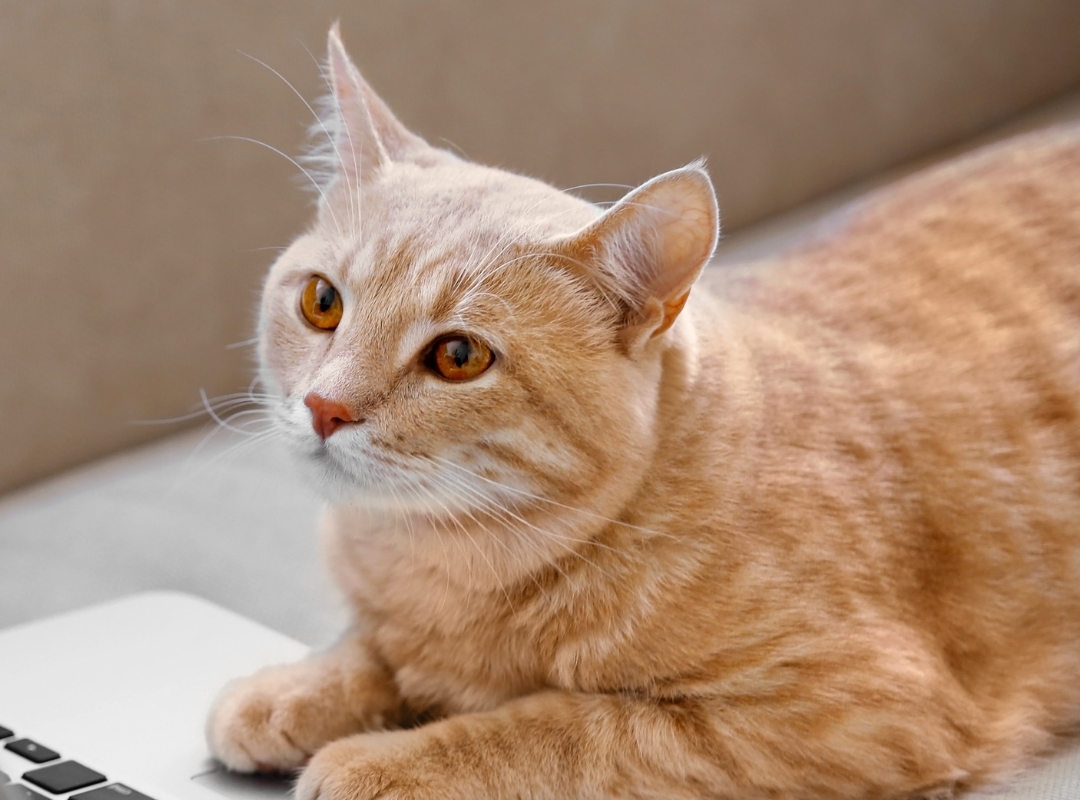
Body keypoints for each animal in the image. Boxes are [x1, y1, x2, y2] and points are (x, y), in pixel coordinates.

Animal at [206, 24, 1080, 798]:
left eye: (458, 356)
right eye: (323, 303)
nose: (324, 406)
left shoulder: (847, 715)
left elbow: (559, 727)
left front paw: (382, 760)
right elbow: (370, 646)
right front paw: (291, 688)